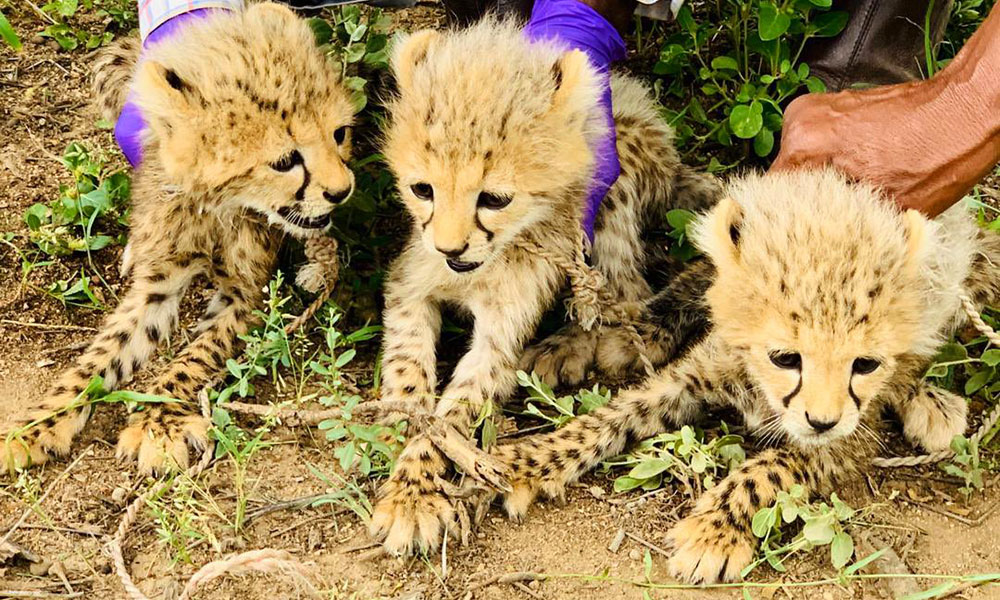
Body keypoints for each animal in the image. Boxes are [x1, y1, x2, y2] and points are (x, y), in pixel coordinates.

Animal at [1, 3, 356, 475]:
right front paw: (35, 425)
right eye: (284, 161)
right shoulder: (158, 284)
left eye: (339, 134)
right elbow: (98, 360)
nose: (342, 190)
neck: (215, 204)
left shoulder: (246, 294)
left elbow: (197, 355)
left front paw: (158, 423)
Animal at [368, 19, 719, 555]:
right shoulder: (410, 286)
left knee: (625, 295)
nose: (449, 249)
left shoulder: (501, 332)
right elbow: (409, 372)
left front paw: (412, 492)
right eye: (421, 189)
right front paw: (399, 436)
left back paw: (567, 345)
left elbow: (451, 417)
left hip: (614, 180)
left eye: (494, 199)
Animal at [492, 168, 1000, 583]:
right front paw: (526, 464)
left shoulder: (845, 441)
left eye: (866, 364)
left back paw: (931, 404)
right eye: (785, 357)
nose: (822, 421)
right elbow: (609, 417)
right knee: (699, 273)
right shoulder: (687, 379)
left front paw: (713, 531)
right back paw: (630, 333)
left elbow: (765, 469)